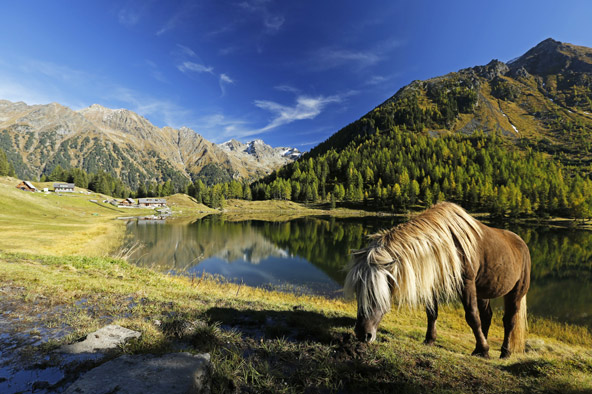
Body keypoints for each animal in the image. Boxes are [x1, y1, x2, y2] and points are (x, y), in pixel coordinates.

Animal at [344, 202, 528, 358]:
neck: (448, 244)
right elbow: (432, 312)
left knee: (509, 321)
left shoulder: (467, 284)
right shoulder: (434, 282)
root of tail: (521, 242)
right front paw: (429, 340)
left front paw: (484, 350)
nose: (362, 334)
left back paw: (504, 352)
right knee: (487, 316)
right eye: (358, 291)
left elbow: (472, 316)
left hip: (515, 293)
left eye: (378, 293)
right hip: (483, 292)